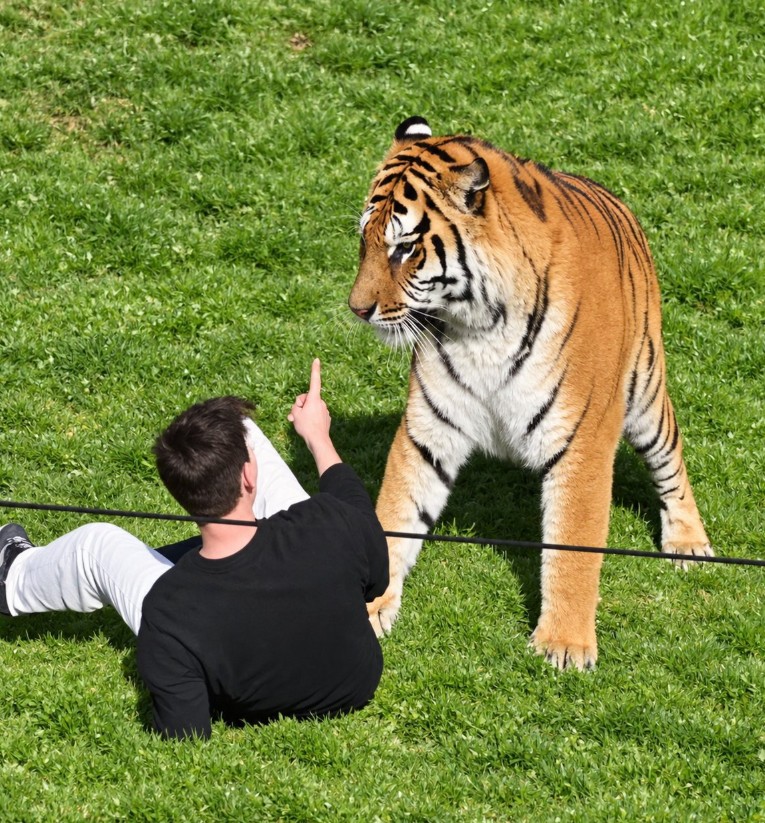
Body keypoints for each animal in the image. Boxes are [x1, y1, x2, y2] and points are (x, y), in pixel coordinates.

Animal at [349, 116, 712, 671]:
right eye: (364, 241)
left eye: (405, 249)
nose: (357, 309)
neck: (479, 325)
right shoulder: (428, 429)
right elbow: (396, 514)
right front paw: (367, 609)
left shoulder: (582, 439)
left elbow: (573, 544)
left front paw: (563, 645)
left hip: (647, 391)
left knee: (671, 462)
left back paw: (689, 543)